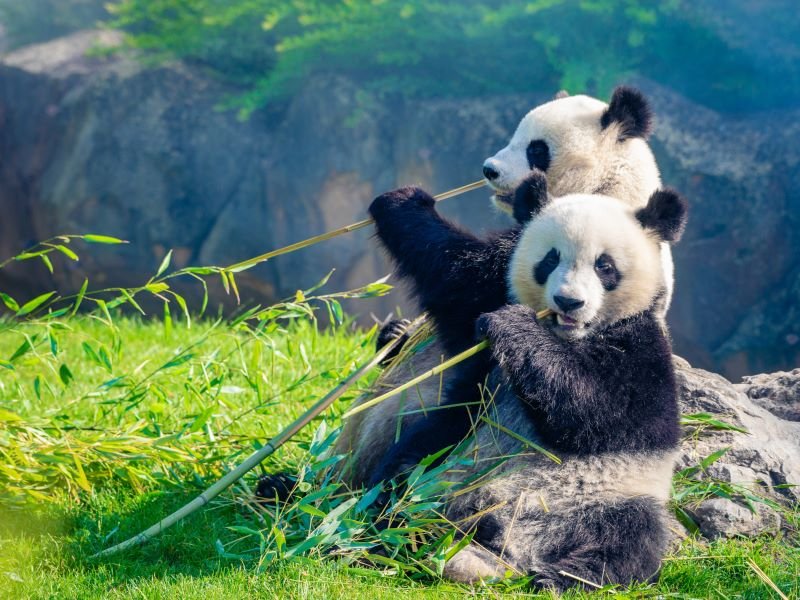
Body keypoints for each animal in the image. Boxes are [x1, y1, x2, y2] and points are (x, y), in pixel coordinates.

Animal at [367, 176, 688, 590]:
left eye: (605, 266)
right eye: (550, 259)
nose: (568, 301)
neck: (566, 335)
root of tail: (509, 549)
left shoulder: (642, 351)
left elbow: (601, 411)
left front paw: (514, 326)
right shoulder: (489, 298)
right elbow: (455, 273)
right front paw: (404, 201)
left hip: (613, 494)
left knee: (632, 538)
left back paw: (562, 576)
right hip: (448, 455)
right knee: (404, 472)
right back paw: (385, 529)